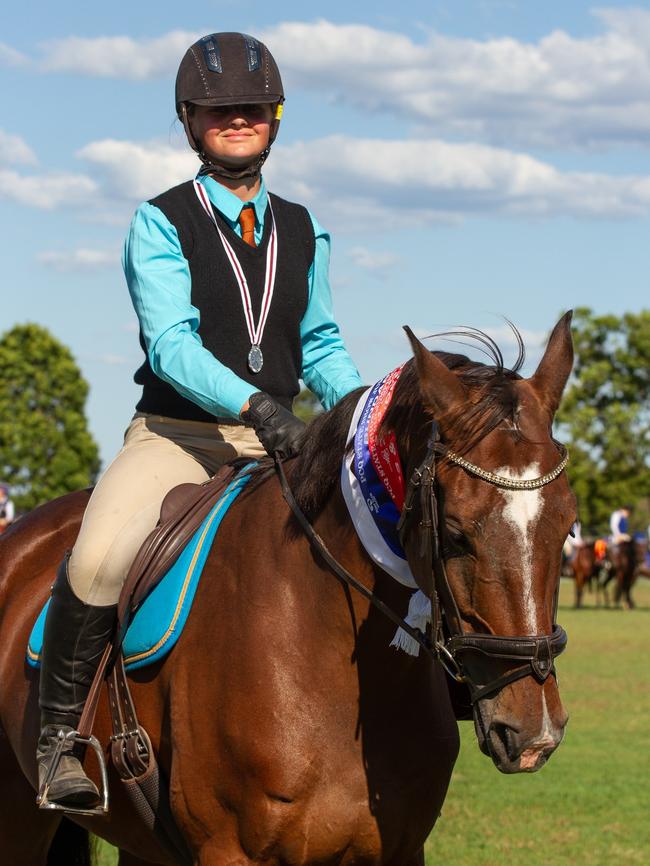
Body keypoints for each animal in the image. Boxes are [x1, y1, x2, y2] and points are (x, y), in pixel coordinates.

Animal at [0, 314, 572, 864]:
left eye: (567, 527)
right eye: (454, 533)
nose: (533, 732)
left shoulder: (402, 851)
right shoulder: (231, 851)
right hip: (22, 824)